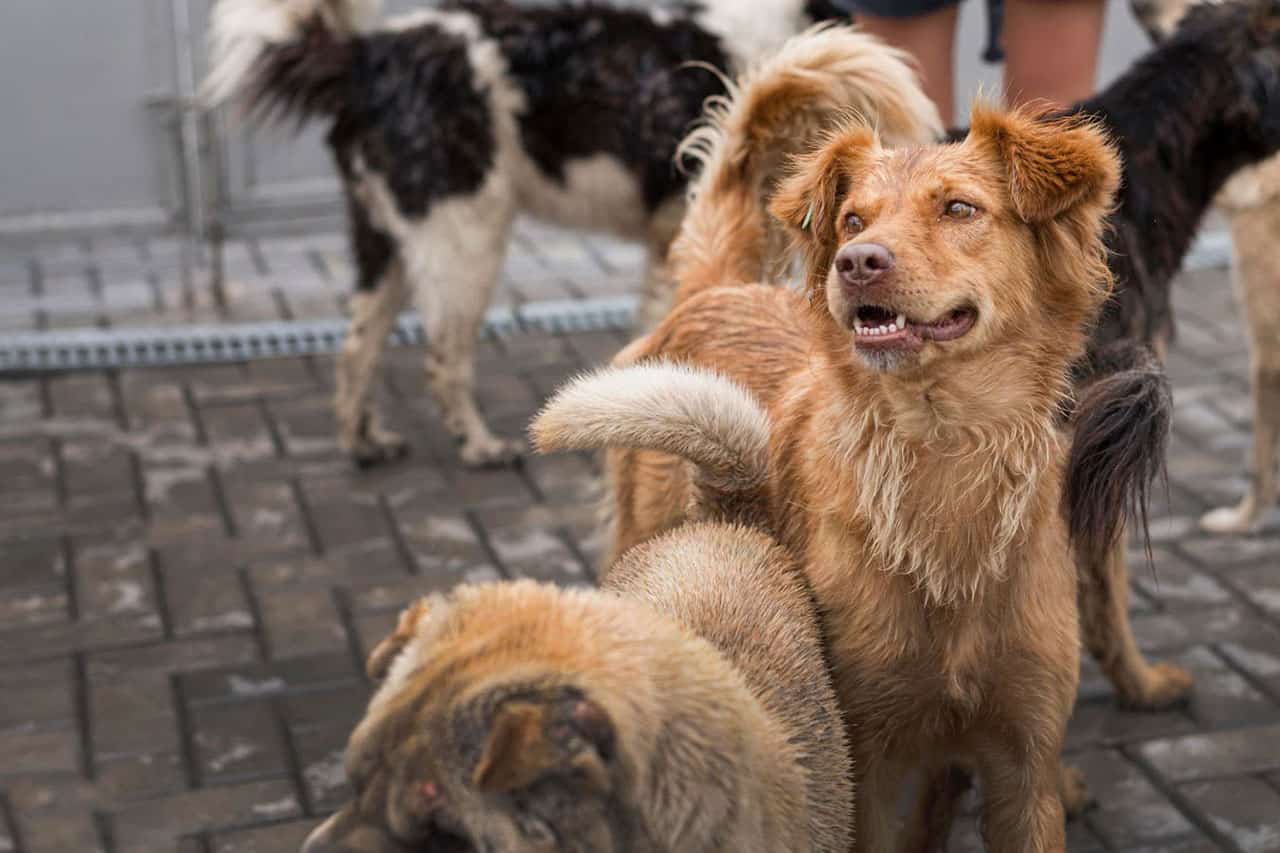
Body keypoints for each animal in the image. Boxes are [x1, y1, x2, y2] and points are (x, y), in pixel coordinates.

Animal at [207, 0, 942, 466]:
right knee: (444, 356)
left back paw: (364, 443)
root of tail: (368, 57)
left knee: (357, 346)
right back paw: (479, 446)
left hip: (385, 239)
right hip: (464, 236)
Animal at [601, 103, 1121, 845]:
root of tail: (718, 288)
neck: (942, 450)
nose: (857, 262)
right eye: (852, 220)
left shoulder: (1026, 765)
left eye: (960, 208)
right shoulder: (858, 761)